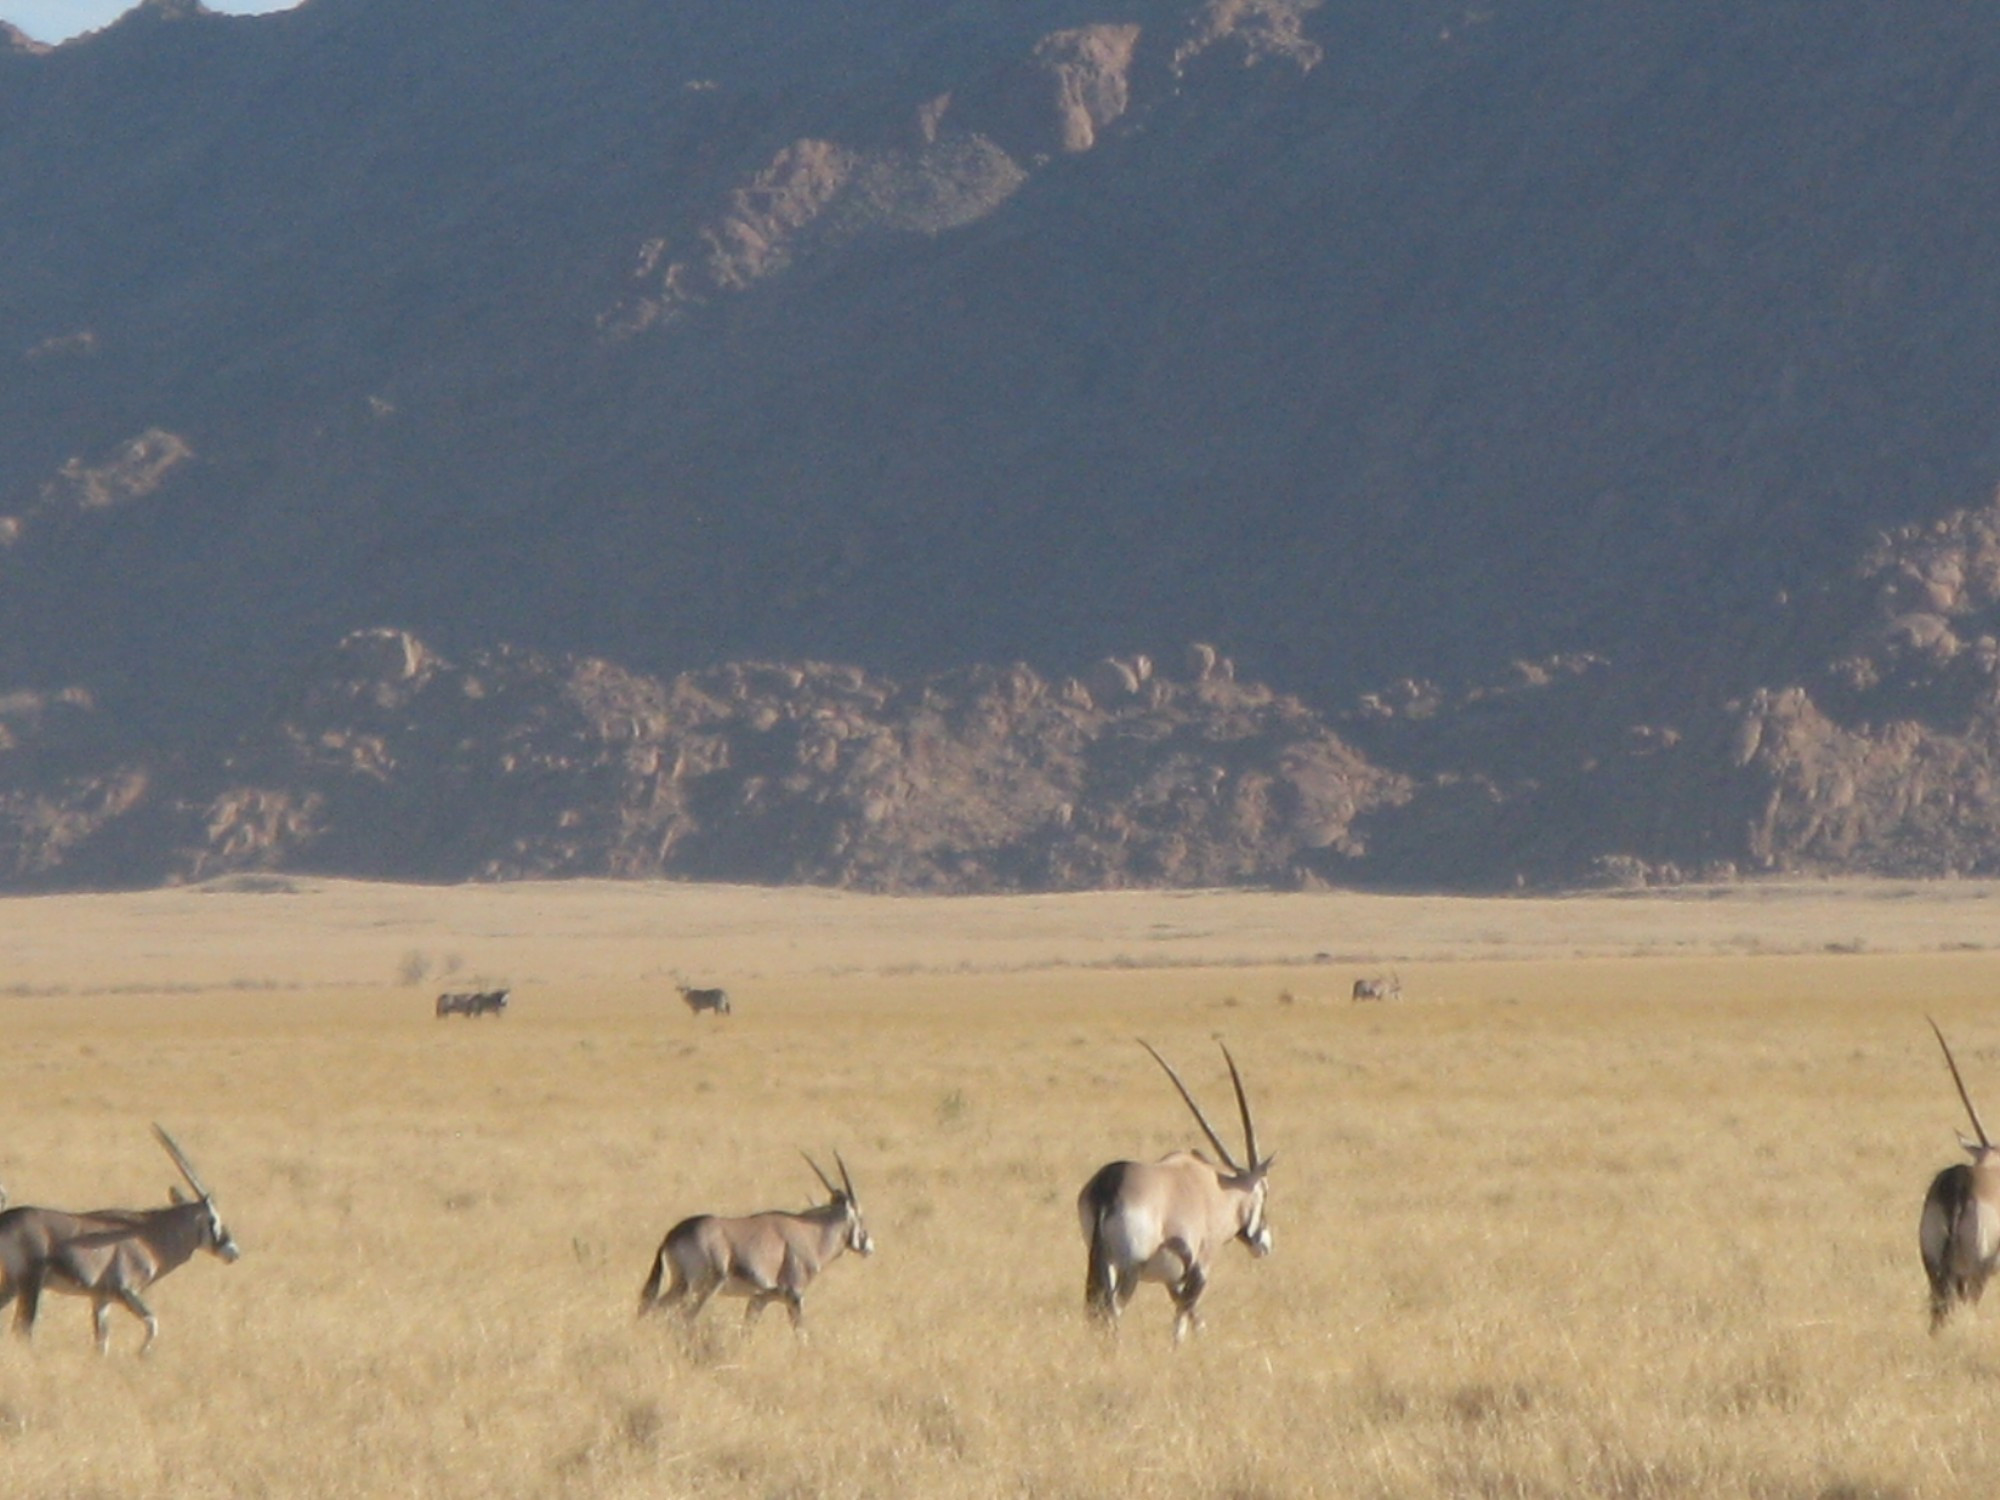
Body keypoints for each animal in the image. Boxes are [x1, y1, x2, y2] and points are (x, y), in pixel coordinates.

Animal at [4, 1128, 240, 1360]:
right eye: (213, 1219)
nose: (233, 1252)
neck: (149, 1235)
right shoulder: (126, 1291)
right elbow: (152, 1323)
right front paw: (141, 1354)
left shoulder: (101, 1300)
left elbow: (102, 1343)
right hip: (30, 1284)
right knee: (24, 1330)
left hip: (13, 1286)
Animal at [632, 1160, 868, 1336]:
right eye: (860, 1215)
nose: (868, 1245)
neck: (811, 1232)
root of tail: (673, 1234)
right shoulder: (795, 1296)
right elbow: (801, 1334)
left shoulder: (759, 1299)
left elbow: (746, 1332)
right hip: (703, 1287)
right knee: (684, 1317)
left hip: (680, 1285)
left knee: (650, 1308)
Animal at [1088, 1040, 1272, 1344]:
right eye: (1265, 1193)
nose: (1265, 1244)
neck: (1218, 1190)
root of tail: (1109, 1186)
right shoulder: (1200, 1266)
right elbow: (1183, 1316)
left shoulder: (1172, 1278)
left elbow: (1190, 1314)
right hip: (1130, 1269)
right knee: (1113, 1311)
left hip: (1105, 1263)